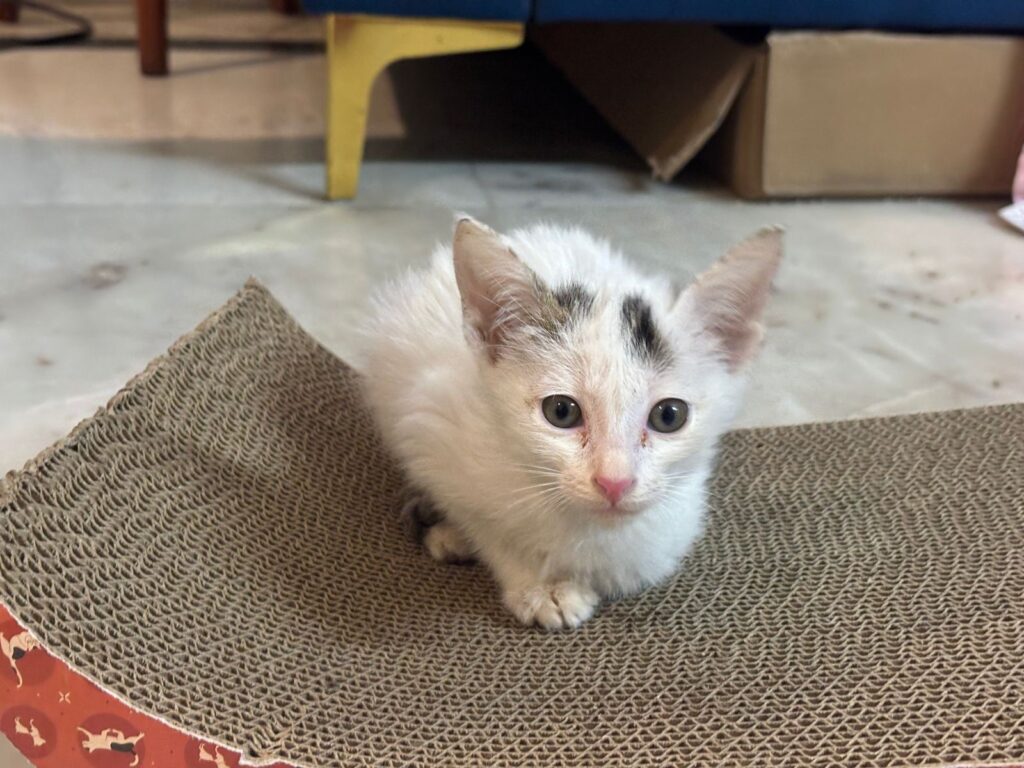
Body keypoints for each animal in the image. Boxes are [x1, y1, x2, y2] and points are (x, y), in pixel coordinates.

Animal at [361, 217, 782, 630]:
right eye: (561, 412)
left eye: (669, 416)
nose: (615, 482)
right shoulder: (428, 422)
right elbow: (485, 524)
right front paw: (540, 586)